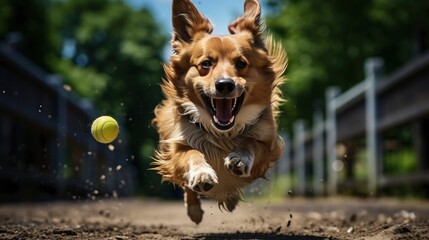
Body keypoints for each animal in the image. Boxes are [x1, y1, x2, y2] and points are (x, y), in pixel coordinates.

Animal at [151, 0, 288, 224]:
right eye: (205, 64)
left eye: (241, 63)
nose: (224, 84)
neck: (222, 133)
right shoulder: (176, 146)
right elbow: (191, 152)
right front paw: (202, 173)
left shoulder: (267, 148)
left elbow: (251, 142)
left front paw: (239, 158)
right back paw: (195, 209)